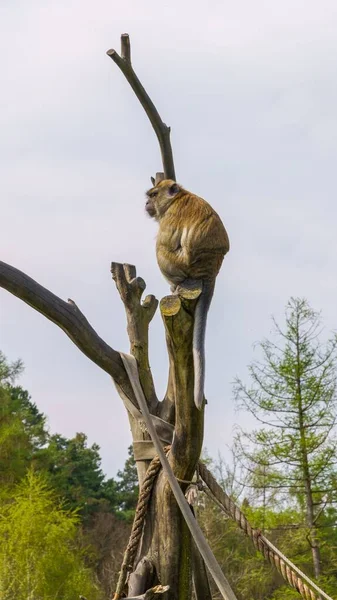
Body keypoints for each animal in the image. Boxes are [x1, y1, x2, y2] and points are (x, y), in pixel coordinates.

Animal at [144, 178, 228, 410]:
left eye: (153, 195)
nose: (146, 203)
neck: (178, 198)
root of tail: (210, 270)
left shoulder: (170, 218)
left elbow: (165, 242)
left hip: (180, 263)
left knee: (160, 248)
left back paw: (177, 286)